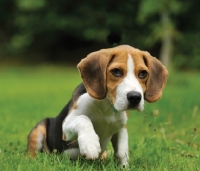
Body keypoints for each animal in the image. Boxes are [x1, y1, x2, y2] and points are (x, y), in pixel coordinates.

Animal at [26, 44, 167, 168]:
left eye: (143, 73)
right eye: (116, 71)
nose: (135, 97)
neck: (108, 105)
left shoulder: (121, 127)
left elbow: (122, 152)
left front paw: (123, 167)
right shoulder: (66, 127)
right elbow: (84, 119)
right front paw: (91, 145)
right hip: (40, 129)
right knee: (32, 152)